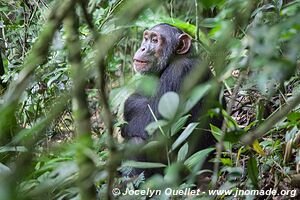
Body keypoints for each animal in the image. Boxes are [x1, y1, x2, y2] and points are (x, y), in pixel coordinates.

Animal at [120, 23, 219, 177]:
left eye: (155, 40)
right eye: (146, 38)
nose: (143, 48)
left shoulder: (179, 72)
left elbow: (152, 121)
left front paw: (124, 127)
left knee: (136, 142)